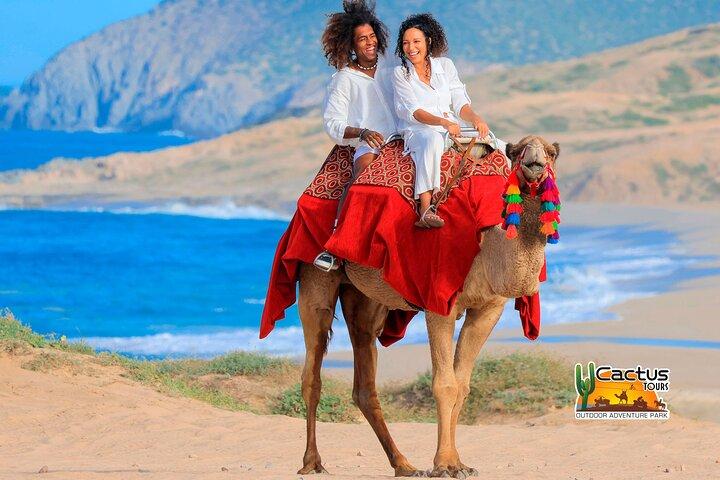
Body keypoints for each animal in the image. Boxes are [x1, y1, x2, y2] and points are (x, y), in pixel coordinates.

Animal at [295, 135, 560, 478]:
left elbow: (462, 384)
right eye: (517, 153)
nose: (535, 162)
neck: (489, 247)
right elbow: (445, 384)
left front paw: (459, 462)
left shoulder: (488, 309)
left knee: (364, 373)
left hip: (365, 295)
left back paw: (403, 464)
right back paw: (312, 462)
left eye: (551, 153)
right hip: (313, 275)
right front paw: (445, 464)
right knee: (312, 369)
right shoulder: (439, 303)